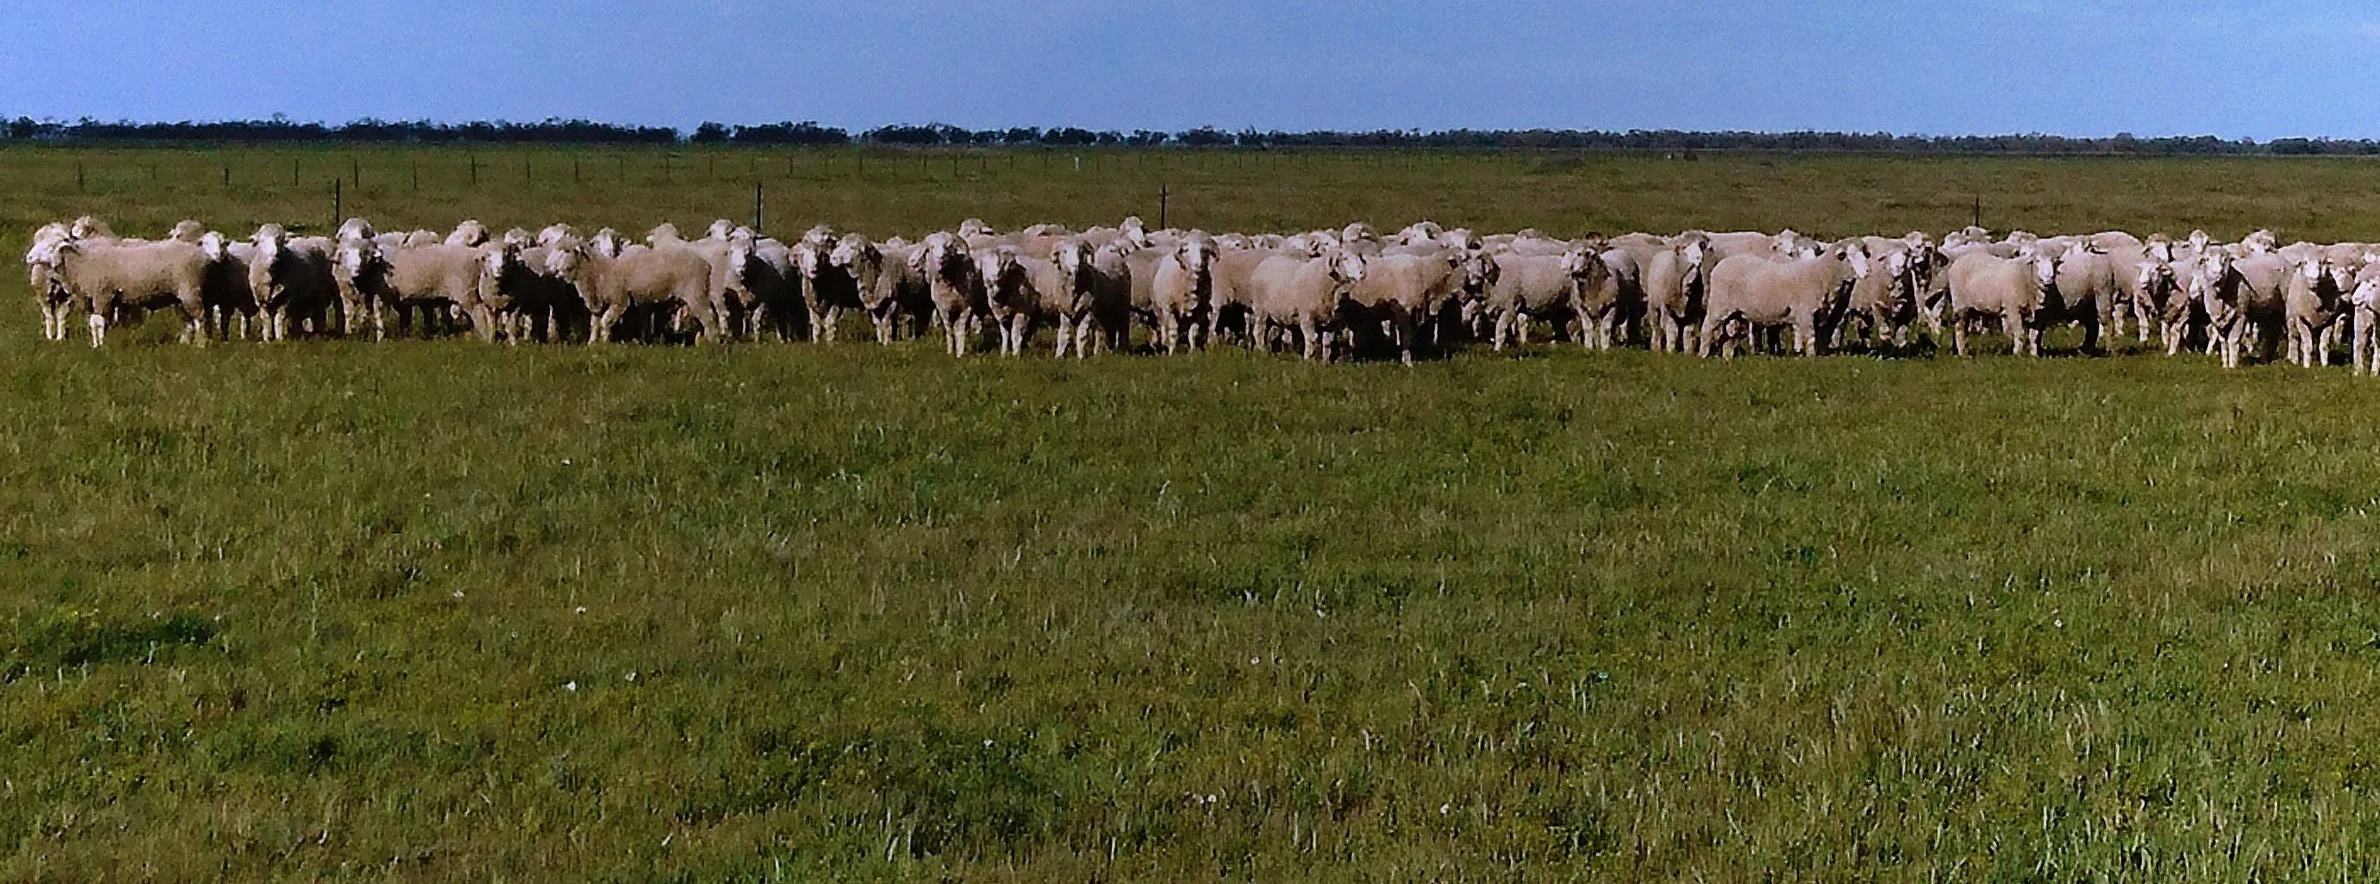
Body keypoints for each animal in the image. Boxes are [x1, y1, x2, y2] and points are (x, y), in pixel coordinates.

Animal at [1699, 243, 1872, 358]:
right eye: (1848, 256)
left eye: (1865, 255)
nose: (1868, 271)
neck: (1822, 273)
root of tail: (1720, 266)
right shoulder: (1805, 312)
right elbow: (1810, 337)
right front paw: (1811, 357)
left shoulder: (1819, 314)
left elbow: (1820, 336)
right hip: (1718, 306)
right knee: (1707, 328)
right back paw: (1703, 355)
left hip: (1736, 312)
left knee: (1729, 335)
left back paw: (1727, 357)